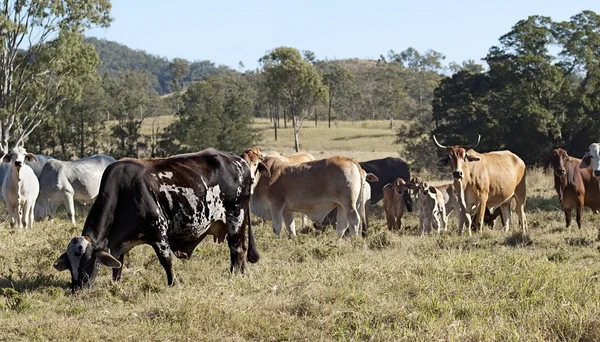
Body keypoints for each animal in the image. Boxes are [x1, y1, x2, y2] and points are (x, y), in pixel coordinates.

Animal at [53, 148, 262, 290]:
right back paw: (243, 274)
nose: (78, 288)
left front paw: (173, 284)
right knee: (242, 248)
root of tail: (239, 161)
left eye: (88, 260)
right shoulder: (118, 243)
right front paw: (115, 284)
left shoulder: (158, 232)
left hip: (235, 216)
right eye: (70, 265)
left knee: (236, 249)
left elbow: (166, 260)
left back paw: (233, 275)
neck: (122, 191)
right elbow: (117, 266)